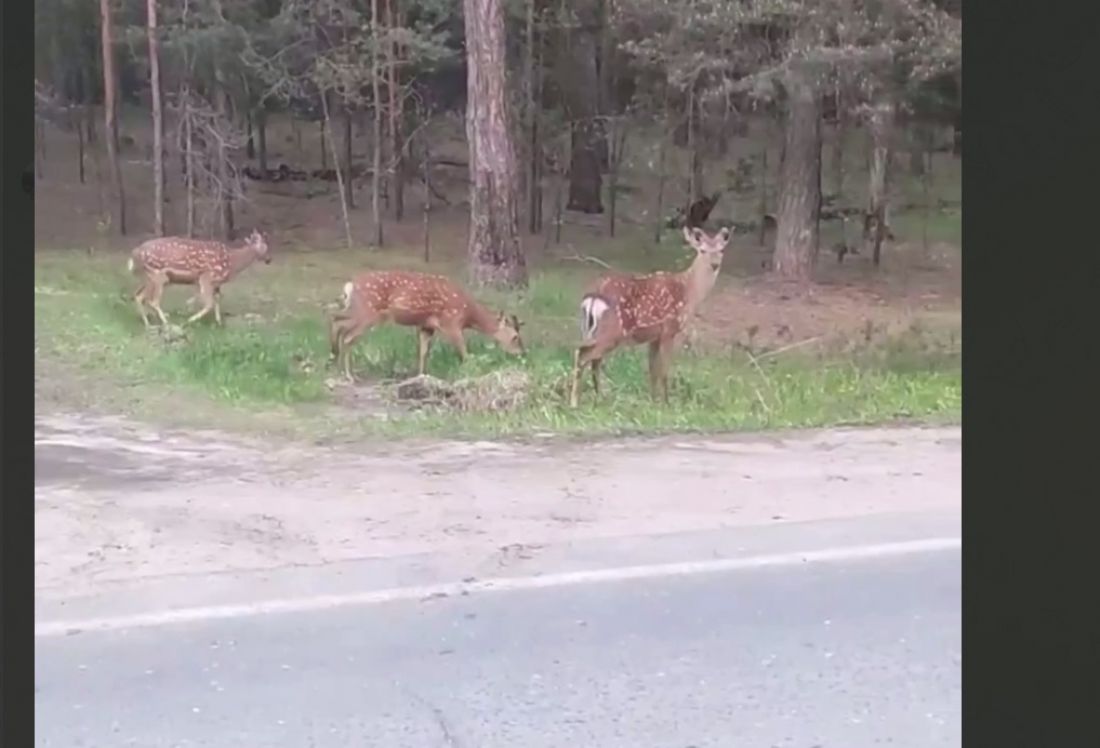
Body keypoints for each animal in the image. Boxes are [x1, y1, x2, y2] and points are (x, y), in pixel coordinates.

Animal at [127, 227, 271, 327]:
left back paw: (148, 323)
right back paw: (166, 322)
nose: (269, 259)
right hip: (158, 275)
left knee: (138, 295)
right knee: (153, 300)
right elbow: (209, 303)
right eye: (265, 247)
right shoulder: (206, 277)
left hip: (148, 277)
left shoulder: (215, 283)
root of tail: (134, 254)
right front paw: (190, 320)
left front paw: (219, 322)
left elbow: (217, 299)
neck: (232, 263)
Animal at [327, 270, 525, 385]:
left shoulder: (427, 326)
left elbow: (422, 352)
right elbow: (465, 353)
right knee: (346, 334)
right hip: (368, 312)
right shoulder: (451, 323)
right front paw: (473, 373)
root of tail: (350, 285)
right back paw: (349, 375)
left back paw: (335, 360)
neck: (468, 314)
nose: (521, 353)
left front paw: (421, 376)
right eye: (515, 336)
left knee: (337, 320)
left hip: (359, 311)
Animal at [567, 225, 730, 409]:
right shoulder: (669, 329)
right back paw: (575, 402)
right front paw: (667, 403)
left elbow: (652, 370)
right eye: (702, 250)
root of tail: (593, 296)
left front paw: (653, 400)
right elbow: (664, 369)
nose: (714, 264)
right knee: (583, 355)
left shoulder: (654, 336)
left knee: (593, 360)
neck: (689, 291)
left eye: (722, 250)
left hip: (590, 331)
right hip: (612, 331)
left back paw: (599, 397)